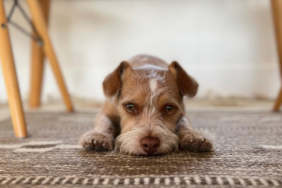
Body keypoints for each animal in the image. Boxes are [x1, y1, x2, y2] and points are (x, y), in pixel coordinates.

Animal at [78, 54, 213, 156]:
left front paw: (194, 136)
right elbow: (105, 123)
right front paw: (98, 136)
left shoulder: (182, 113)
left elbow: (184, 123)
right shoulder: (104, 113)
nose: (150, 144)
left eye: (169, 108)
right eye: (130, 107)